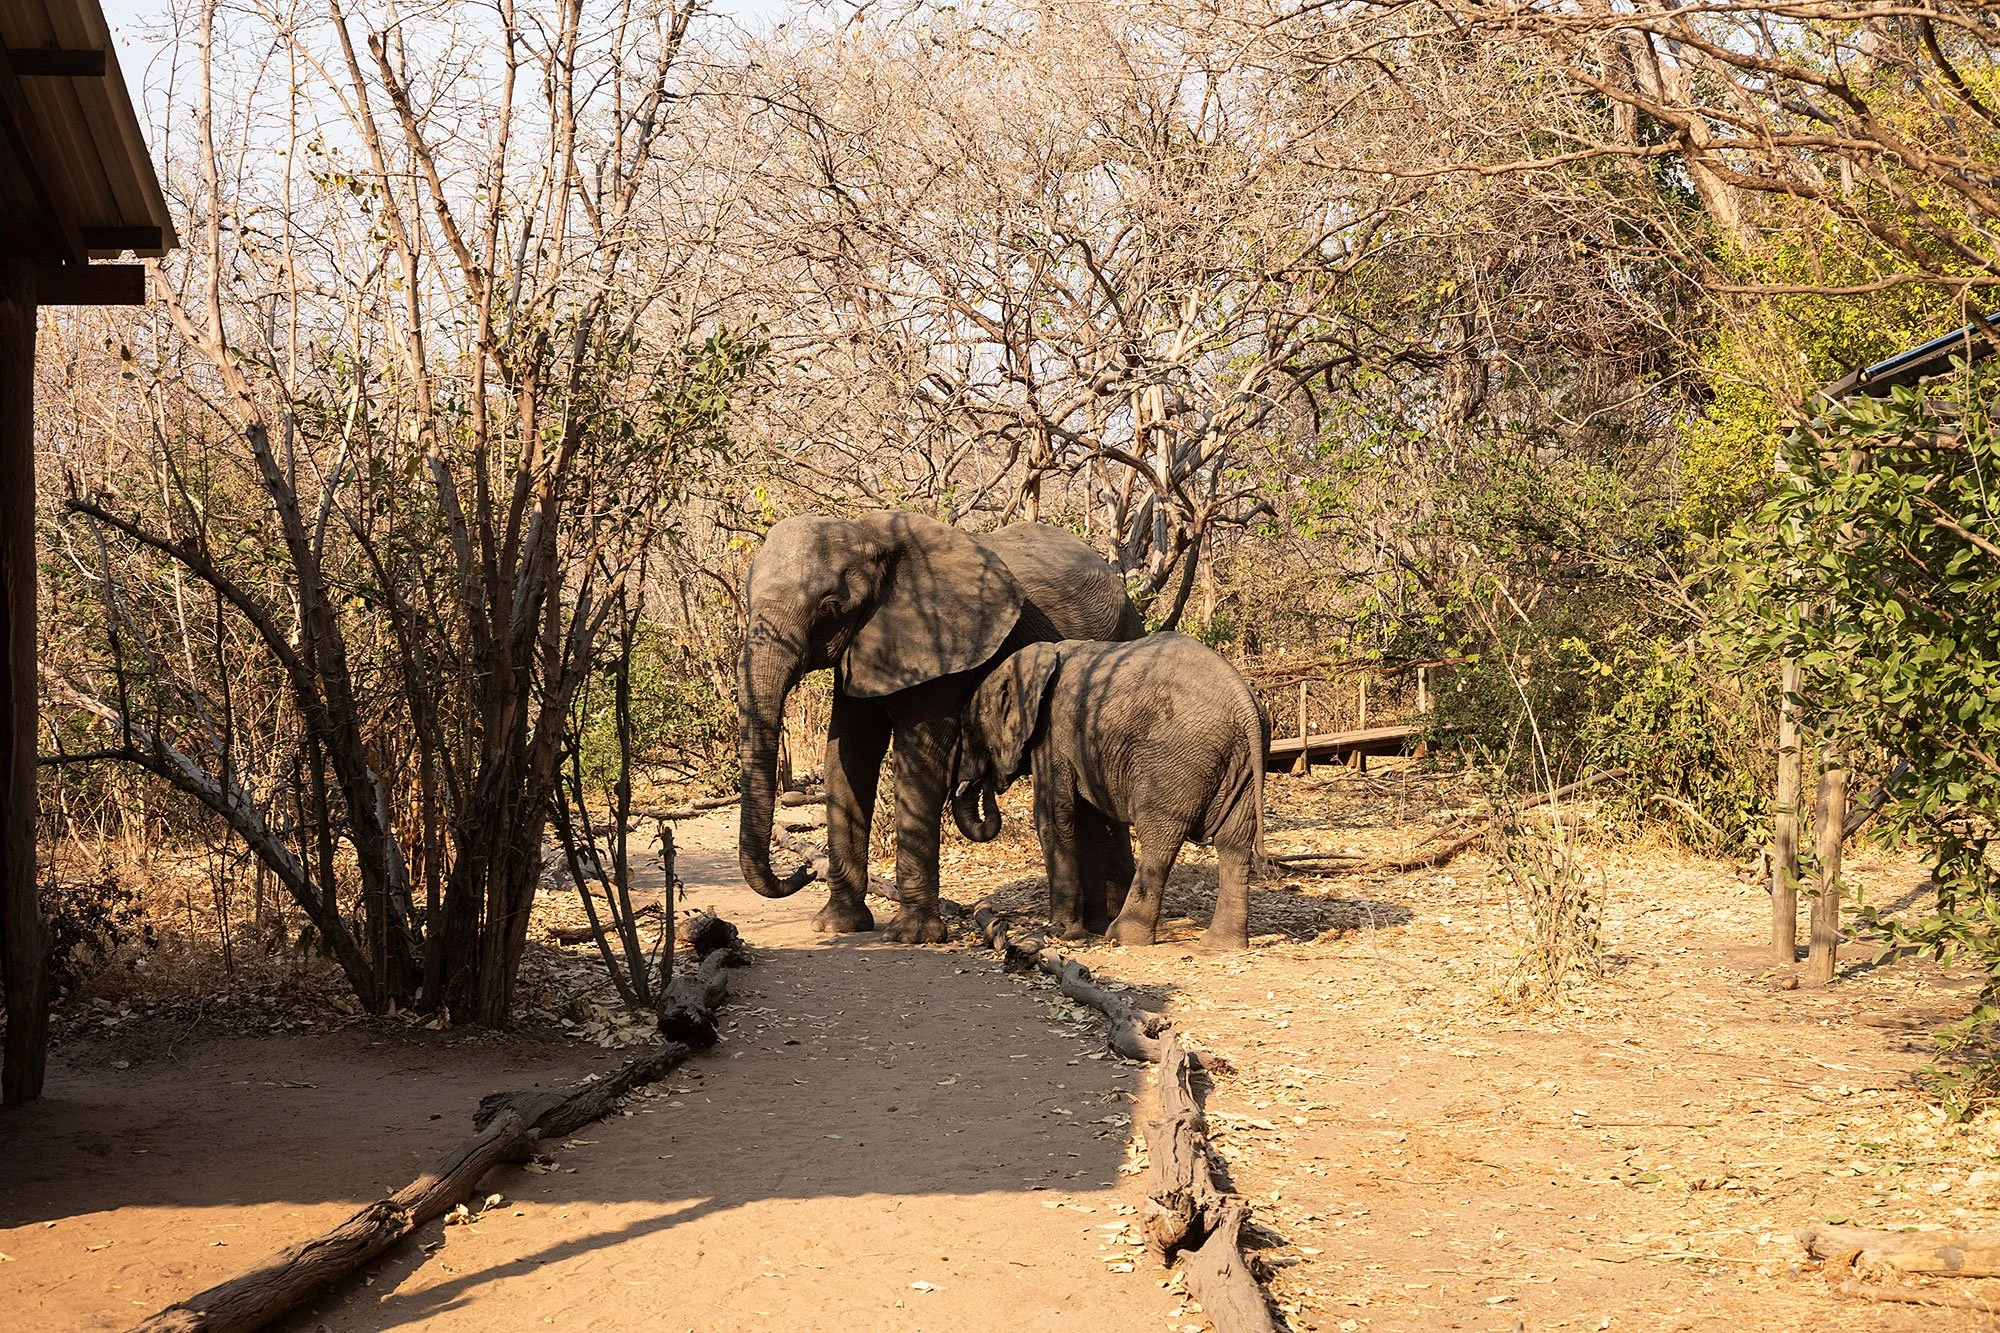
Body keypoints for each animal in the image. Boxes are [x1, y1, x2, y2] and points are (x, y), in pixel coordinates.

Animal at [736, 510, 1144, 943]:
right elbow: (848, 758)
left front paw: (911, 937)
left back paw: (1107, 919)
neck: (871, 536)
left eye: (830, 607)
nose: (802, 870)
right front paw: (839, 926)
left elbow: (918, 760)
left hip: (1123, 641)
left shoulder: (943, 645)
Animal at [951, 633, 1268, 949]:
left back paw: (1122, 936)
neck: (1037, 659)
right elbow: (1089, 826)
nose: (987, 782)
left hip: (1176, 762)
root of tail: (1244, 702)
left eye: (969, 731)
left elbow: (1054, 816)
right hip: (1242, 763)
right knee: (1234, 842)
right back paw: (1219, 945)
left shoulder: (1052, 736)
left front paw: (1061, 932)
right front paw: (1091, 926)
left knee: (1159, 839)